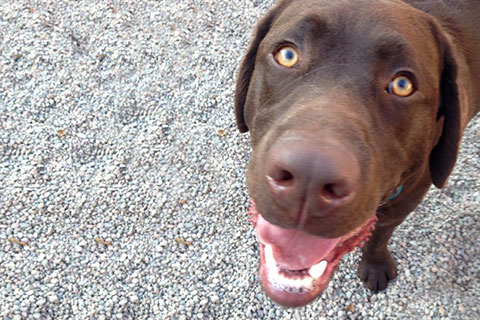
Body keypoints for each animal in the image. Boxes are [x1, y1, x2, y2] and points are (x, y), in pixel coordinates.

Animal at [234, 0, 478, 306]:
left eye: (403, 85)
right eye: (287, 55)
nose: (309, 177)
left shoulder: (403, 203)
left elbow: (380, 236)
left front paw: (376, 266)